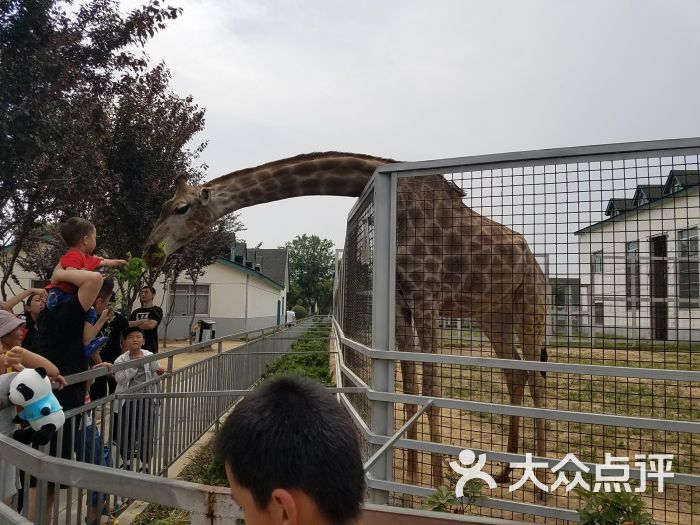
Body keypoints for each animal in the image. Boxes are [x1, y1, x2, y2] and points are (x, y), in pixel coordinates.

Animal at [142, 151, 548, 488]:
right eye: (162, 206)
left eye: (180, 208)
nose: (149, 251)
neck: (403, 208)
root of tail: (533, 258)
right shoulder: (402, 302)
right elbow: (409, 384)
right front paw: (410, 479)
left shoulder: (427, 297)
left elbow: (430, 386)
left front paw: (435, 485)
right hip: (492, 313)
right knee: (515, 372)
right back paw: (507, 470)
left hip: (530, 301)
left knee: (535, 373)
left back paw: (540, 481)